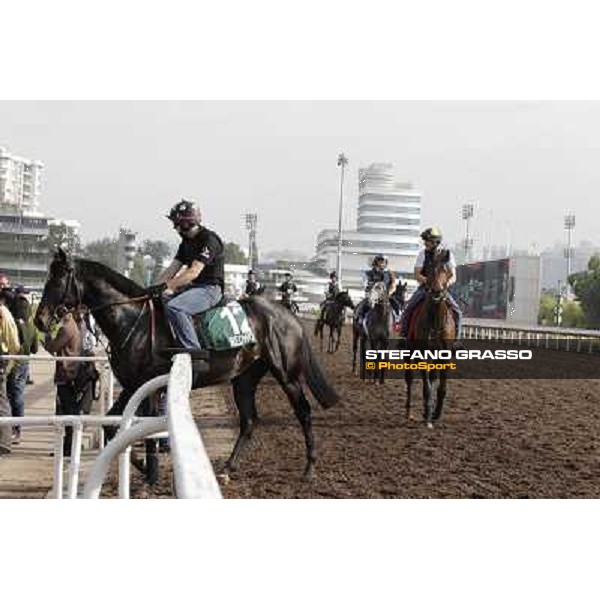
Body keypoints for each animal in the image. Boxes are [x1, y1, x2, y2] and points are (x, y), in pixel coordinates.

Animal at [36, 248, 338, 482]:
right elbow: (111, 428)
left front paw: (150, 472)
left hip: (287, 375)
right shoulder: (132, 385)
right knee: (249, 421)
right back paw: (227, 468)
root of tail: (287, 315)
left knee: (304, 412)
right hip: (244, 378)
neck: (133, 319)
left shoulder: (151, 386)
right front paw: (142, 466)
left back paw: (309, 469)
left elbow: (147, 431)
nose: (40, 320)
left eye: (57, 279)